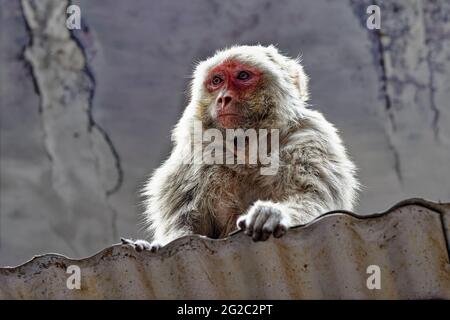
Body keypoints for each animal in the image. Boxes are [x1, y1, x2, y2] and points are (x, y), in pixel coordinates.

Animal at [121, 45, 360, 251]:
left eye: (243, 76)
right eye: (217, 80)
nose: (223, 98)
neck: (249, 145)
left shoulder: (312, 136)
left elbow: (314, 198)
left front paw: (273, 214)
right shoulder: (197, 150)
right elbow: (187, 222)